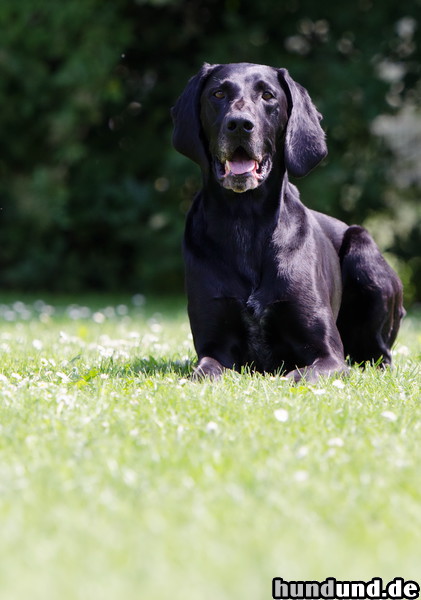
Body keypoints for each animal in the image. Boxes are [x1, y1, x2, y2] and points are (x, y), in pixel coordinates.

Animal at [171, 63, 404, 382]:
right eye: (218, 94)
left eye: (268, 96)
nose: (239, 124)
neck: (246, 219)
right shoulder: (213, 347)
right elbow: (206, 371)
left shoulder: (329, 355)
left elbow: (298, 374)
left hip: (364, 253)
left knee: (380, 355)